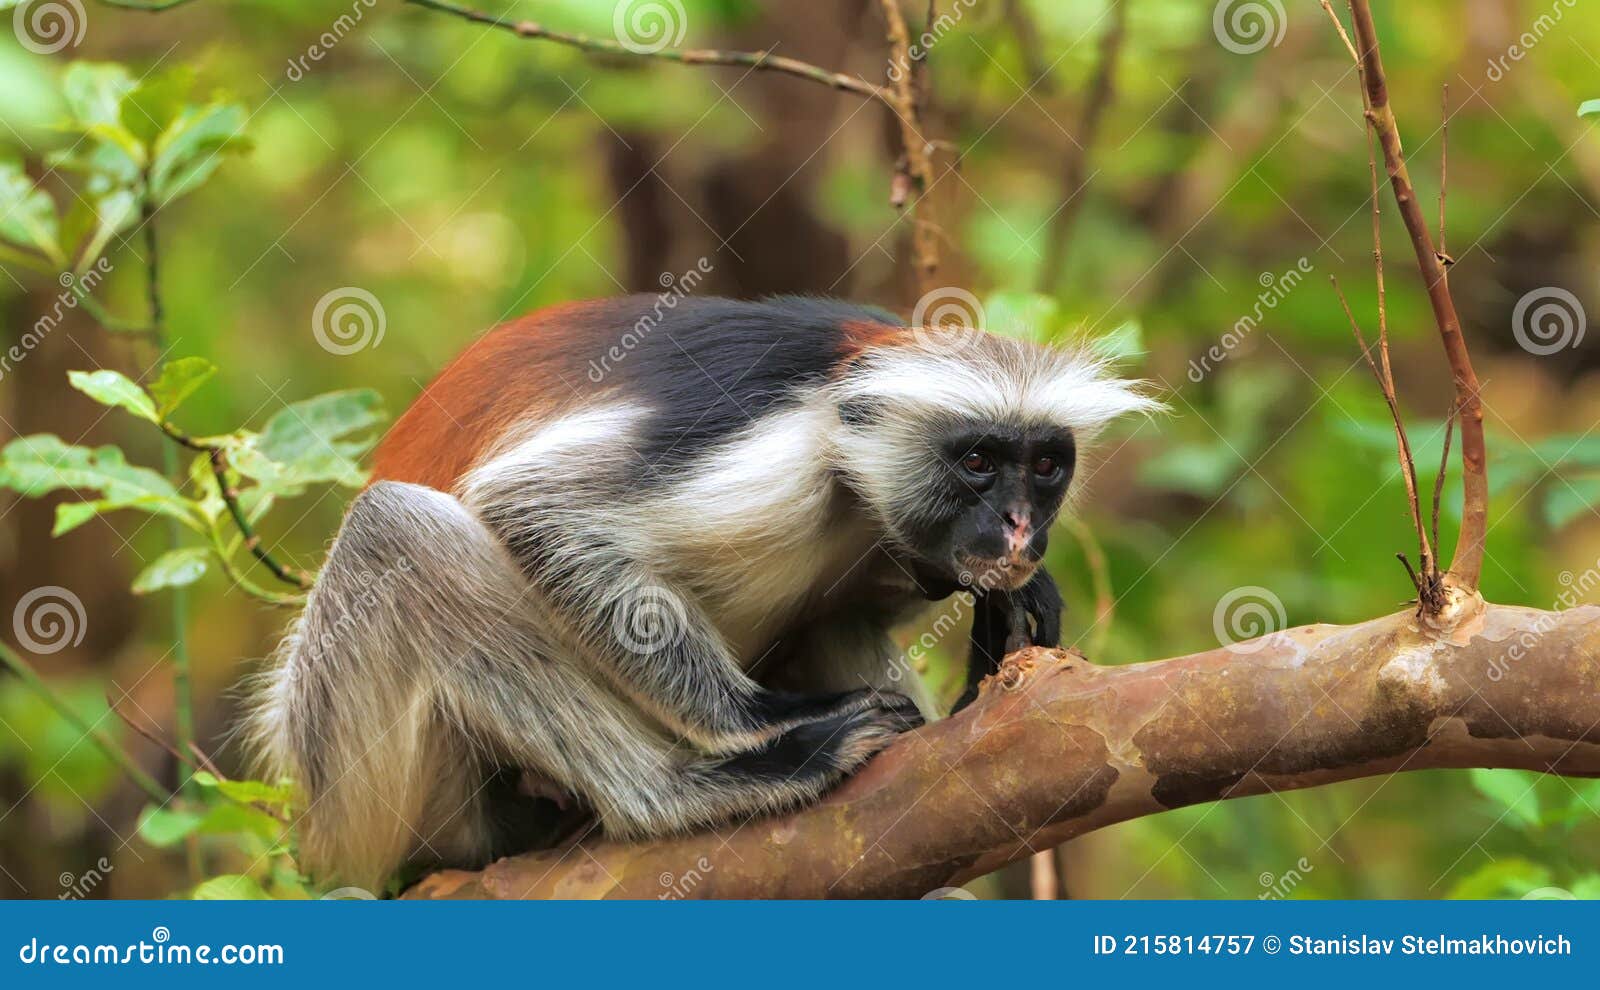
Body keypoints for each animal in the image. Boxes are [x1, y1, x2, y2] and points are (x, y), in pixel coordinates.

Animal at [249, 295, 1158, 889]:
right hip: (365, 788)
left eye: (1046, 466)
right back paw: (689, 791)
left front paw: (1007, 613)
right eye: (977, 461)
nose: (1018, 526)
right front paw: (762, 724)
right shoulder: (770, 451)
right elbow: (533, 506)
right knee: (396, 528)